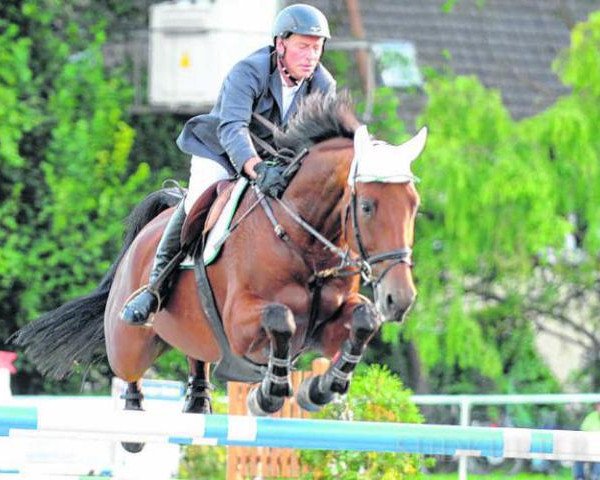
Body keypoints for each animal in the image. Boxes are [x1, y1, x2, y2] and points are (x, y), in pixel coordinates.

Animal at [11, 93, 424, 446]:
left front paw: (320, 388)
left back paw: (198, 402)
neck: (302, 240)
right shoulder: (242, 323)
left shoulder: (326, 326)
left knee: (197, 357)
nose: (399, 299)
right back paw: (133, 422)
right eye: (367, 206)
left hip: (195, 333)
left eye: (414, 205)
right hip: (131, 340)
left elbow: (364, 321)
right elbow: (280, 319)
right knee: (128, 371)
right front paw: (267, 394)